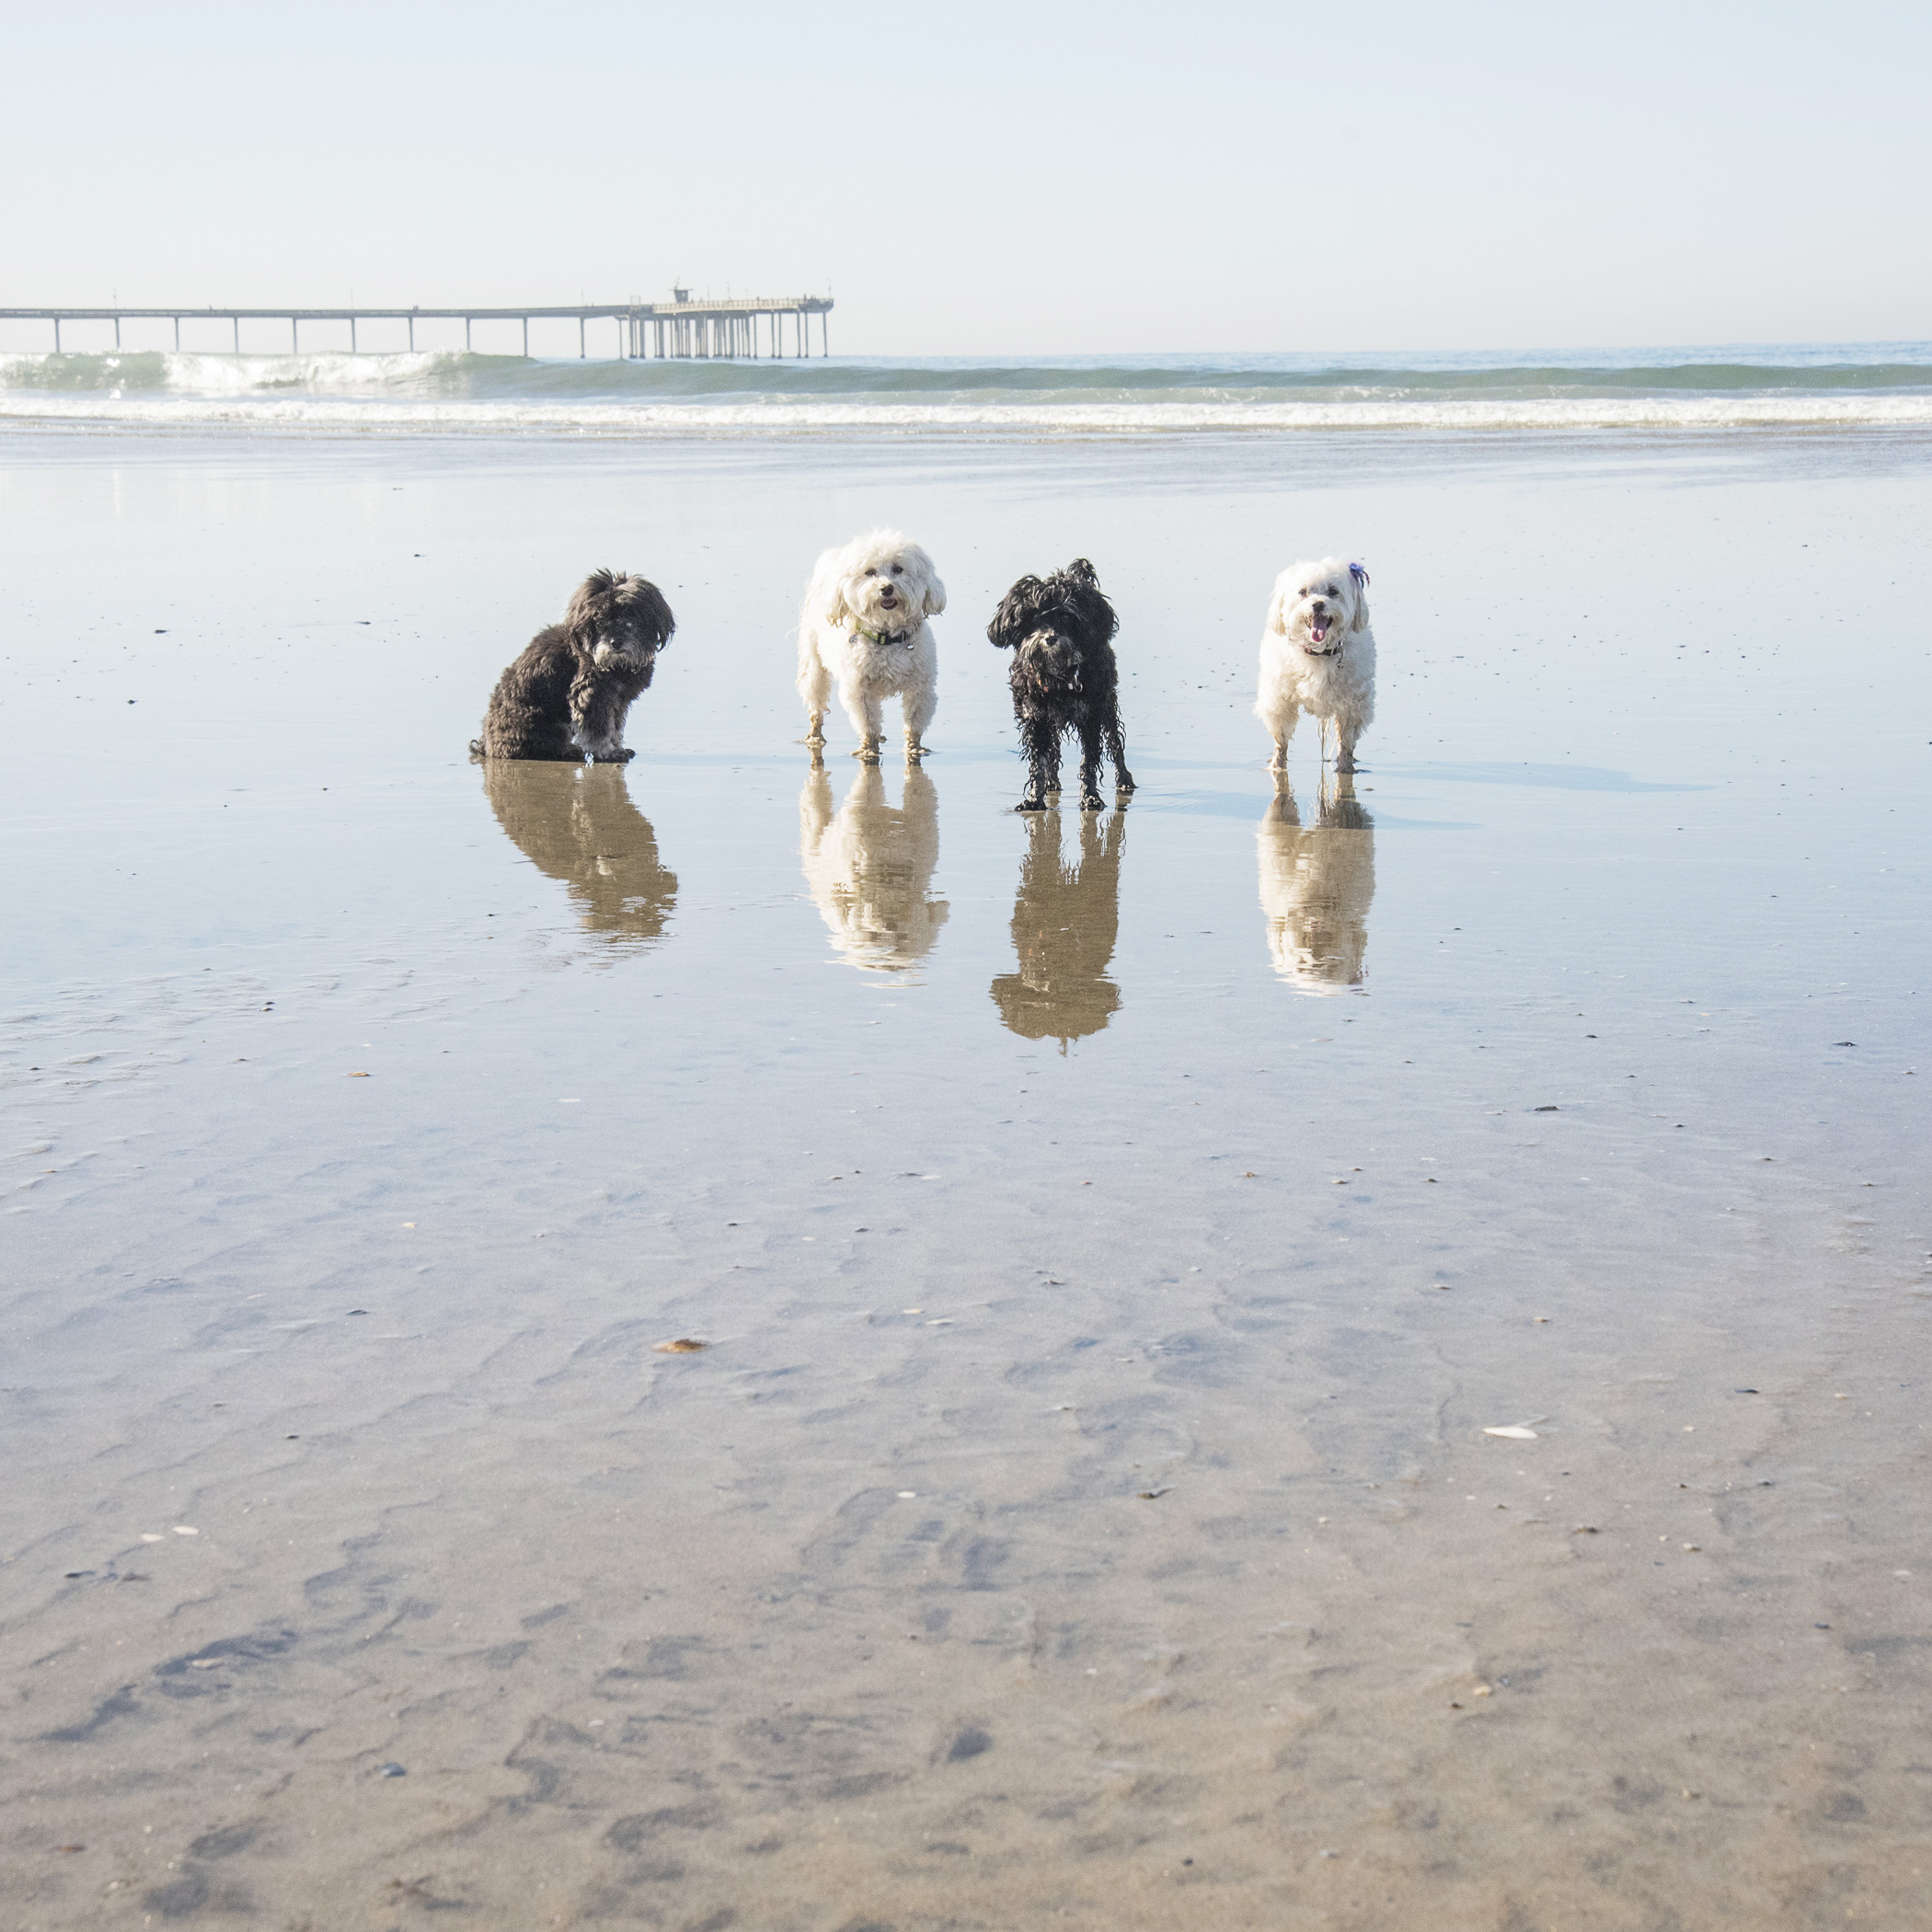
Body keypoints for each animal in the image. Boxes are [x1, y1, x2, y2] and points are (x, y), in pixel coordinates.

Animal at [471, 568, 675, 757]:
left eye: (631, 617)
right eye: (599, 621)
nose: (615, 643)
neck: (615, 663)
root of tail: (487, 749)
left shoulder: (618, 699)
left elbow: (615, 727)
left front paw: (617, 748)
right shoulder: (590, 693)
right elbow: (599, 730)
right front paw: (606, 752)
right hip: (547, 724)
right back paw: (568, 751)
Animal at [796, 536, 947, 768]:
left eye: (898, 569)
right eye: (869, 572)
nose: (886, 588)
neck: (887, 636)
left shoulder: (920, 687)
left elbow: (914, 721)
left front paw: (914, 748)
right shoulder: (860, 690)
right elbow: (867, 722)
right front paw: (869, 749)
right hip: (814, 664)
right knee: (816, 703)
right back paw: (815, 736)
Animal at [981, 556, 1128, 811]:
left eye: (1066, 616)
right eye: (1033, 617)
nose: (1049, 638)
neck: (1058, 676)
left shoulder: (1091, 715)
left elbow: (1088, 760)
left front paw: (1090, 797)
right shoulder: (1036, 717)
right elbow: (1039, 760)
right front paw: (1033, 799)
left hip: (1107, 703)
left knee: (1115, 741)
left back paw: (1125, 780)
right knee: (1054, 749)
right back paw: (1052, 783)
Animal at [1251, 556, 1375, 772]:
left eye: (1333, 591)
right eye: (1303, 592)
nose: (1317, 605)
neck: (1318, 652)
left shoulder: (1353, 705)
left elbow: (1346, 741)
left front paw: (1345, 769)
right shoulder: (1279, 700)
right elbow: (1281, 740)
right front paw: (1277, 766)